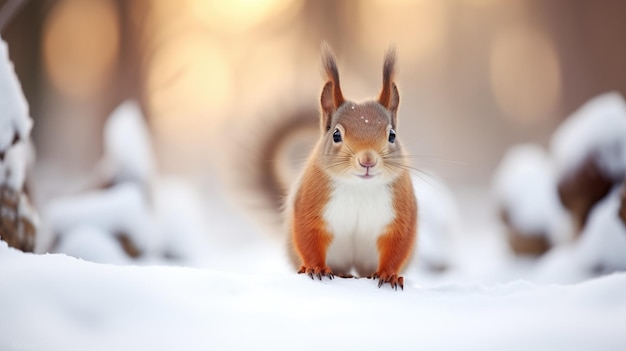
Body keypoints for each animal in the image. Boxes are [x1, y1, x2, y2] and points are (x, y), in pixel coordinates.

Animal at [286, 43, 416, 292]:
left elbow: (396, 247)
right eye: (336, 134)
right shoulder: (310, 205)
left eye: (392, 135)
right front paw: (315, 267)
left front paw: (389, 275)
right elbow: (308, 238)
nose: (367, 161)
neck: (360, 188)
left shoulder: (400, 215)